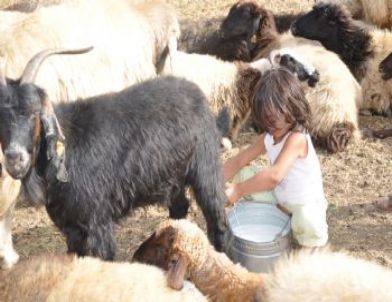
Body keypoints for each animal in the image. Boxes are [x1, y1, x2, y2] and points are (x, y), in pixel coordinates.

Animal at [0, 47, 227, 260]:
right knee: (180, 207)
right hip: (173, 178)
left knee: (217, 219)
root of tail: (194, 89)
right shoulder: (71, 229)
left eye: (34, 113)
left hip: (205, 167)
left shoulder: (98, 223)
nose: (14, 158)